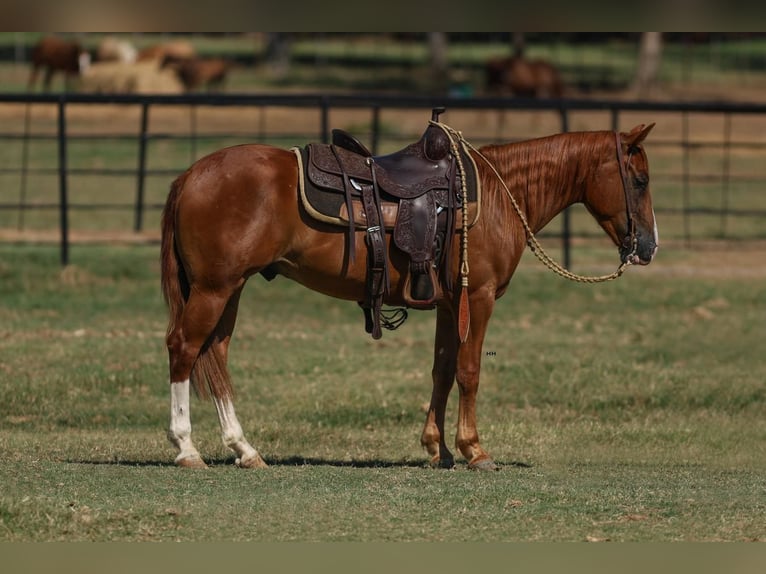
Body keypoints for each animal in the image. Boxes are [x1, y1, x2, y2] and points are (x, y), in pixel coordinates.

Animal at [159, 118, 656, 472]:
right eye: (640, 181)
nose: (649, 247)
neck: (498, 196)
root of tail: (190, 174)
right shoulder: (478, 298)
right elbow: (470, 371)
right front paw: (475, 450)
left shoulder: (449, 304)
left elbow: (442, 370)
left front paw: (438, 449)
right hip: (214, 288)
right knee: (184, 348)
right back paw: (187, 448)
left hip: (230, 288)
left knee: (215, 354)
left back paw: (245, 449)